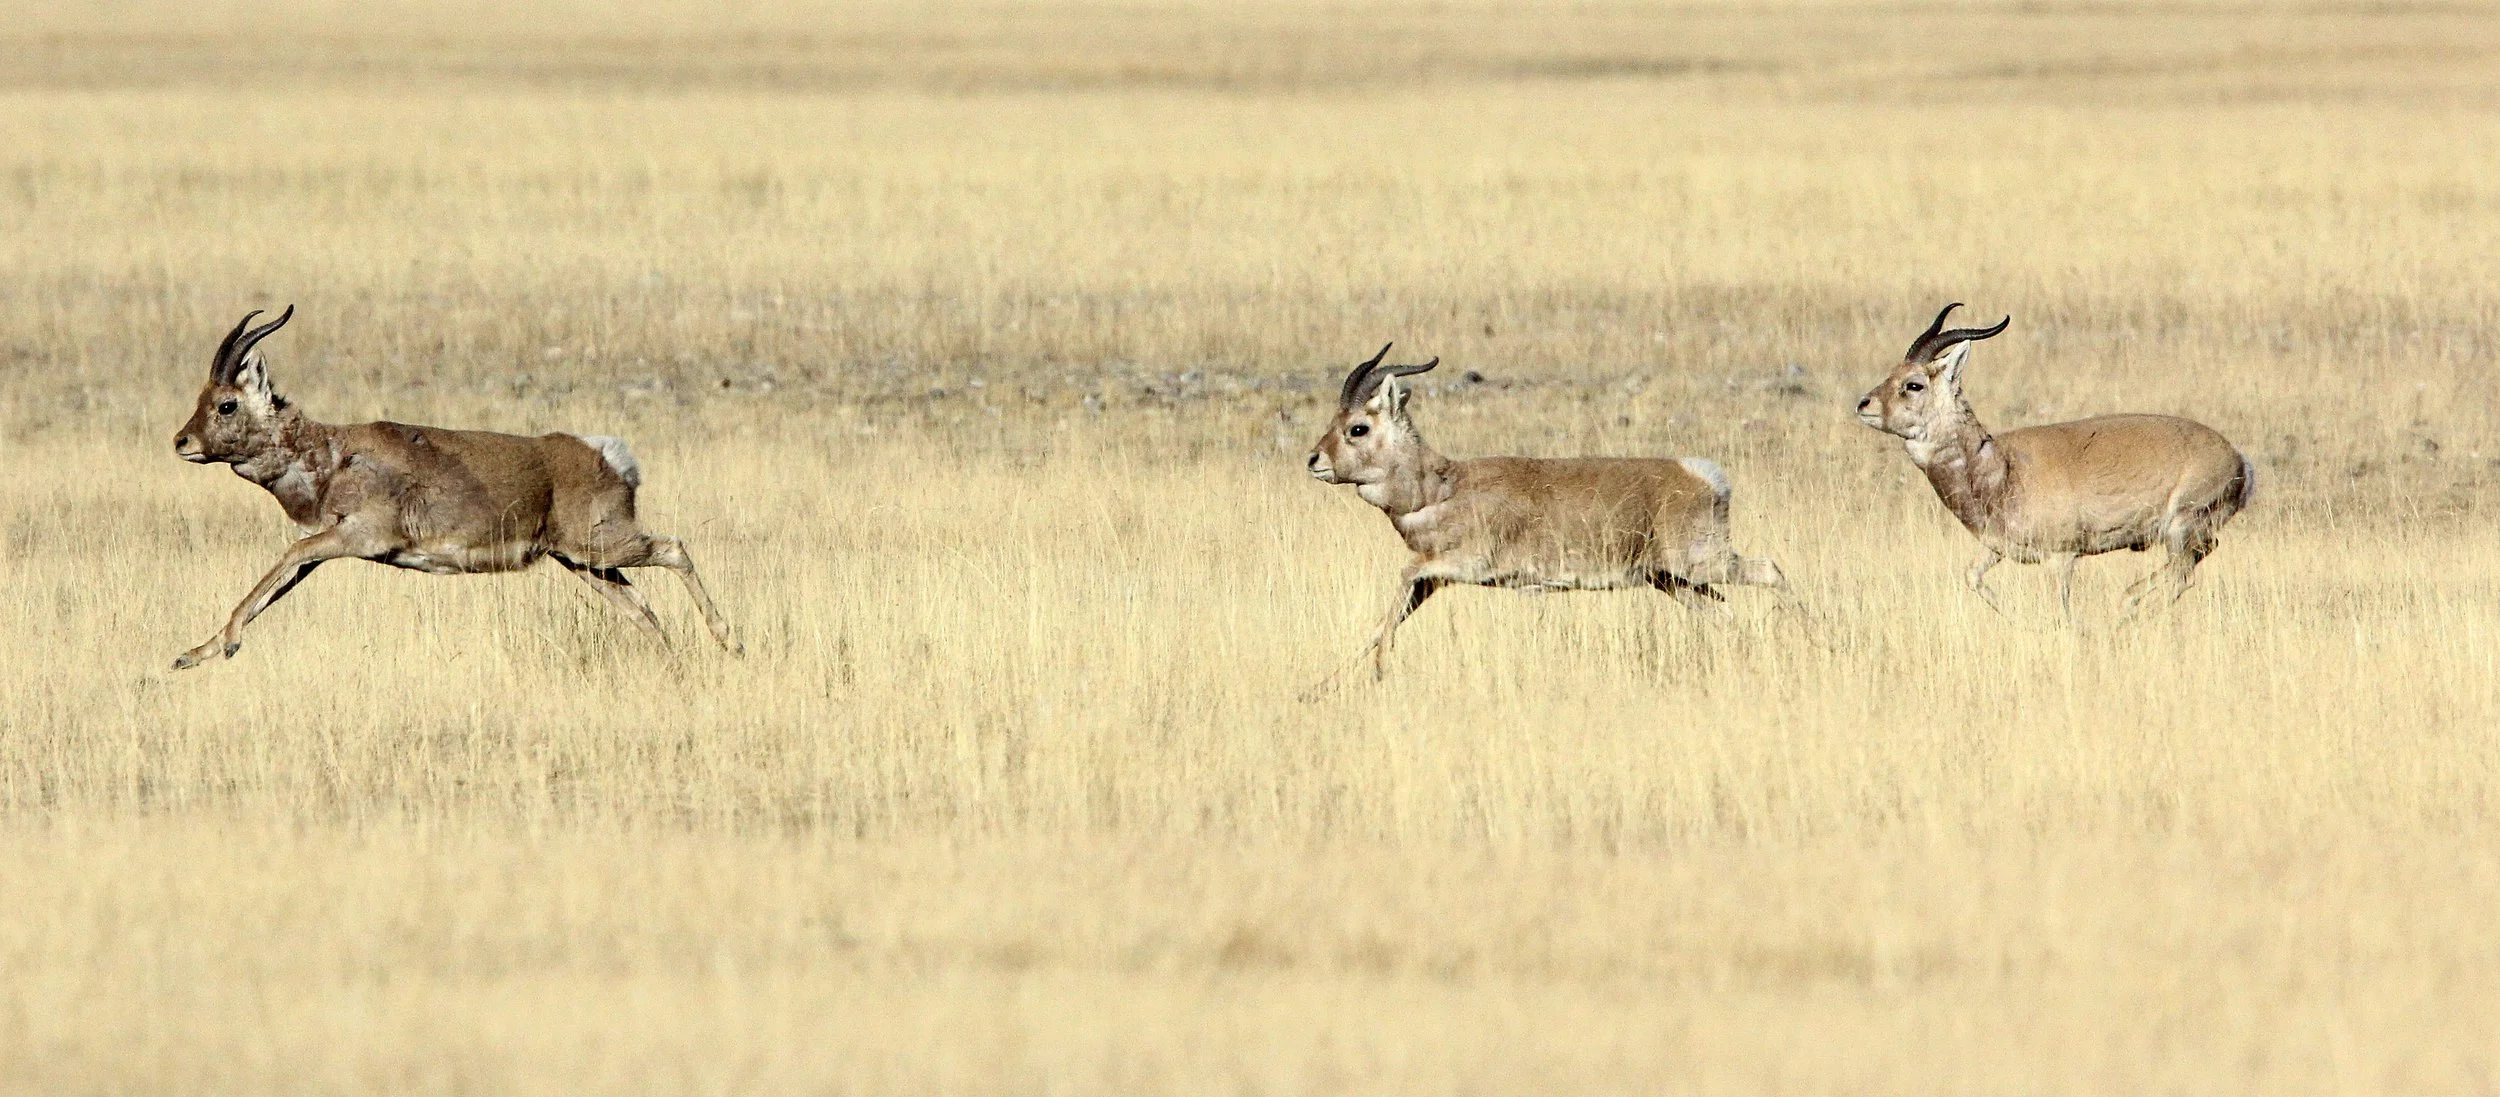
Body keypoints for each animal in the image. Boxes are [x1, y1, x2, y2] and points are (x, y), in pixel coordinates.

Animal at [170, 306, 739, 668]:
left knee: (674, 548)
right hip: (584, 563)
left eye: (226, 403)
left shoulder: (356, 538)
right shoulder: (329, 547)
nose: (181, 441)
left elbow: (283, 558)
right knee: (643, 610)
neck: (334, 453)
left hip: (599, 547)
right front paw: (193, 654)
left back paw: (731, 643)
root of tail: (607, 453)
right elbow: (276, 584)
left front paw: (217, 648)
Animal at [1304, 344, 1789, 686]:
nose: (1313, 460)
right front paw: (1318, 688)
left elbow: (1401, 579)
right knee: (1726, 613)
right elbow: (1382, 621)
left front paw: (1378, 671)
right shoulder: (1434, 581)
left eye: (1358, 428)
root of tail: (1702, 474)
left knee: (1772, 570)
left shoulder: (1455, 566)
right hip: (1675, 581)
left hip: (1703, 564)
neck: (1444, 487)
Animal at [1855, 303, 2255, 620]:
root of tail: (2238, 459)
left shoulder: (2061, 559)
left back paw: (2125, 611)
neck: (2004, 469)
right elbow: (1972, 577)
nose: (1863, 404)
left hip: (2180, 530)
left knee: (2180, 575)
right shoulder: (1995, 549)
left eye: (1914, 384)